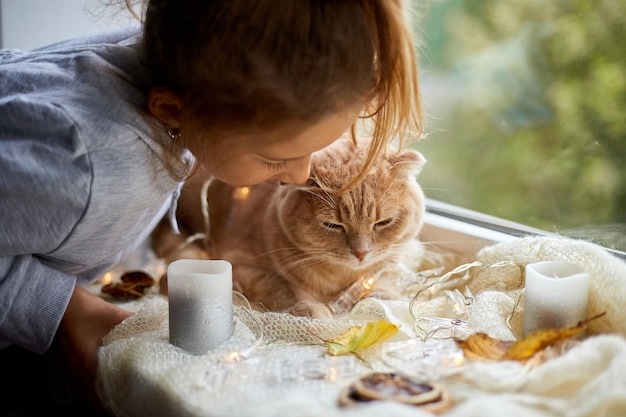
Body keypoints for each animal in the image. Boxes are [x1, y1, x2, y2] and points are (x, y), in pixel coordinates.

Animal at [154, 136, 426, 316]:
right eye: (333, 225)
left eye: (383, 223)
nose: (361, 253)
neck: (341, 278)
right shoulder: (242, 265)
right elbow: (282, 286)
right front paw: (312, 309)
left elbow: (381, 278)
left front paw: (385, 293)